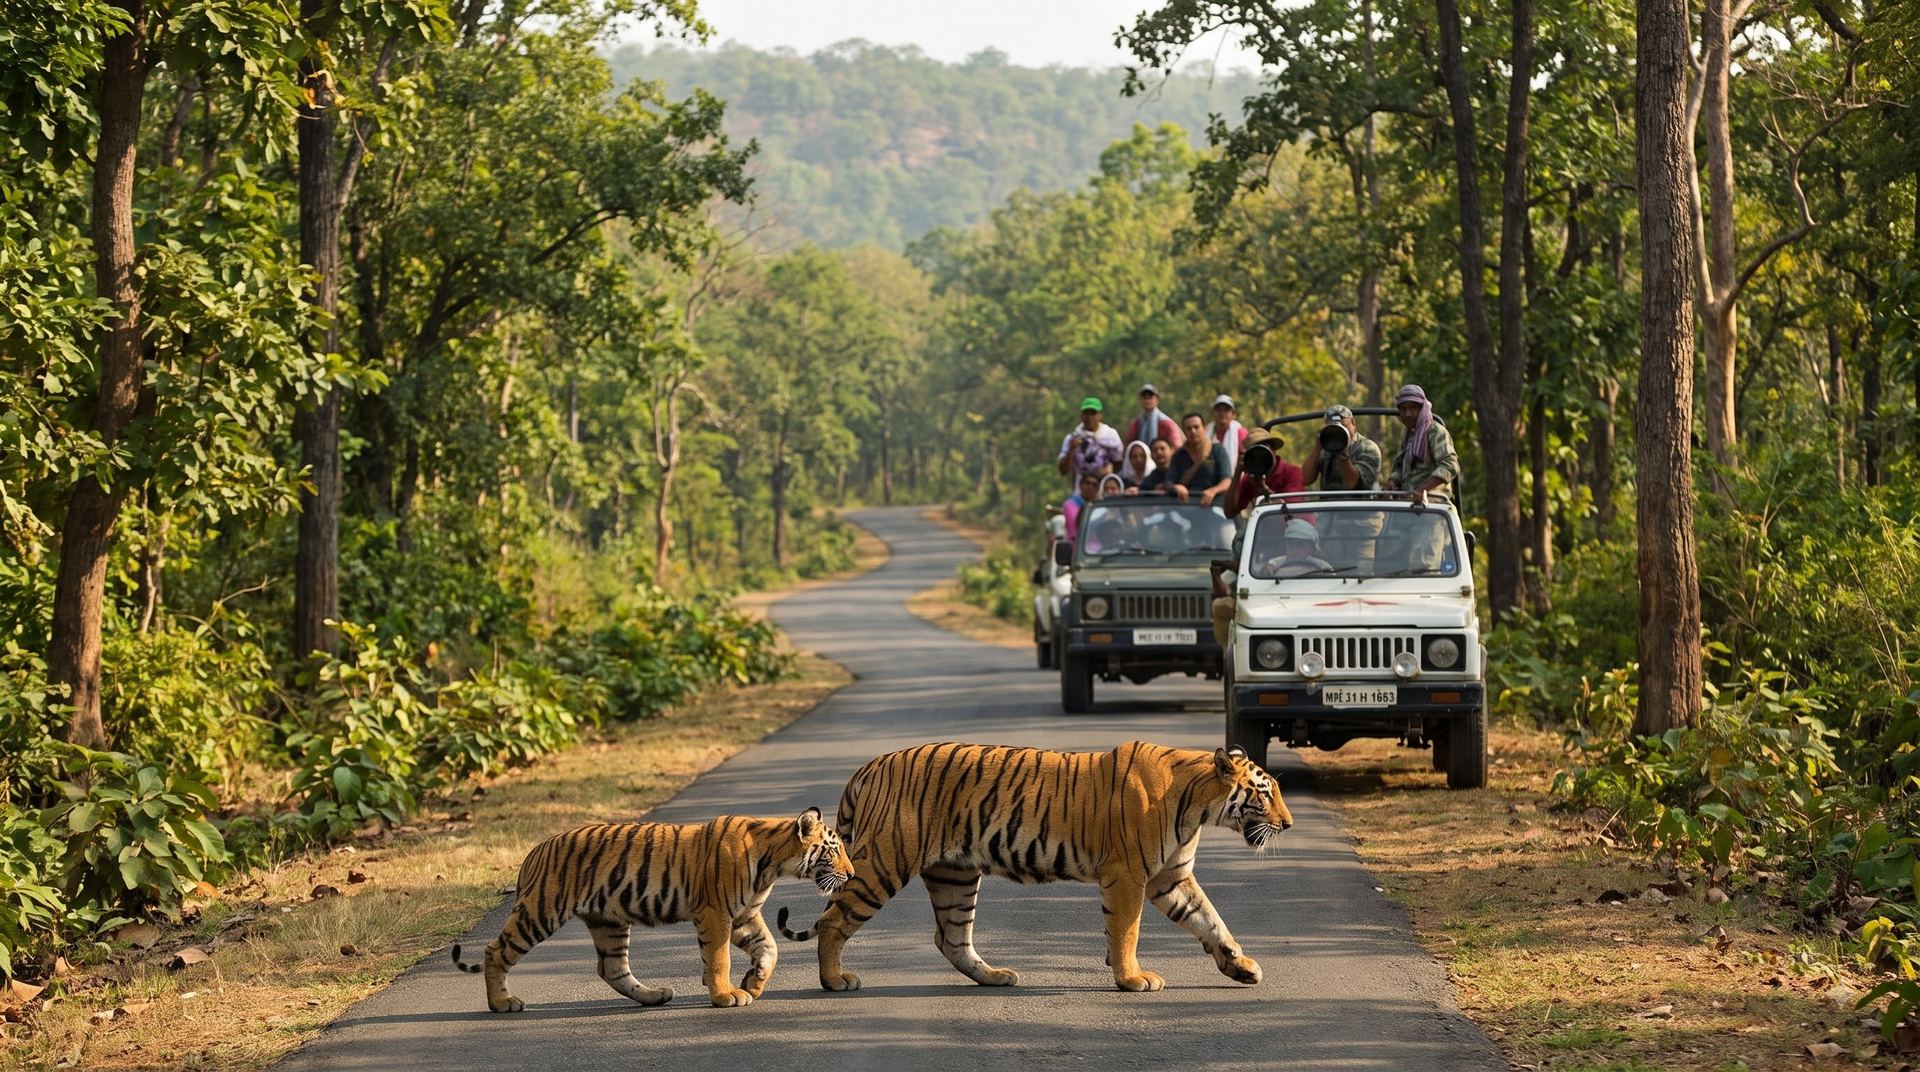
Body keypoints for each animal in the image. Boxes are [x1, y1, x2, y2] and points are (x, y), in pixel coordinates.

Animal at [451, 808, 853, 1012]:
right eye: (833, 849)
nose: (850, 874)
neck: (773, 862)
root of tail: (535, 850)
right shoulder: (716, 913)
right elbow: (718, 957)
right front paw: (725, 994)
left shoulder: (744, 915)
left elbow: (770, 949)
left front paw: (753, 982)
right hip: (541, 911)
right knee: (495, 951)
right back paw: (502, 1002)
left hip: (608, 922)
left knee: (612, 968)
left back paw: (654, 996)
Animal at [777, 740, 1292, 994]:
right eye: (1265, 792)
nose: (1288, 824)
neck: (1199, 804)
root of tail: (868, 767)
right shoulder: (1129, 875)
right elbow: (1127, 930)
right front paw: (1131, 979)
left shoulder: (1171, 877)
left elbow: (1210, 920)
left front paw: (1240, 966)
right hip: (885, 861)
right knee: (834, 920)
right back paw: (834, 981)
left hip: (954, 874)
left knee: (951, 938)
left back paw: (996, 977)